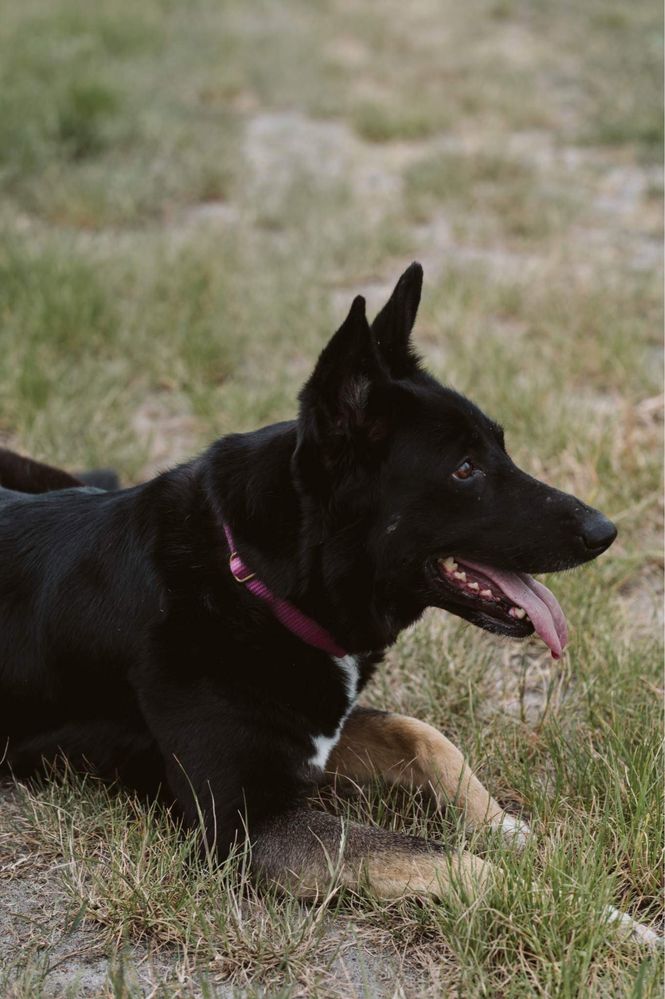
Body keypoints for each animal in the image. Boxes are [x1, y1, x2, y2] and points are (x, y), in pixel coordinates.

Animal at [0, 264, 632, 916]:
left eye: (500, 448)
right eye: (464, 469)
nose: (605, 532)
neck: (253, 584)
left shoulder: (319, 734)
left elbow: (424, 735)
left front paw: (506, 826)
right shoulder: (249, 822)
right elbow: (441, 856)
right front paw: (589, 912)